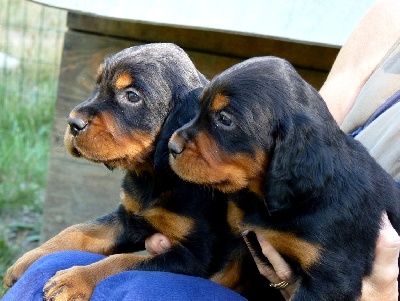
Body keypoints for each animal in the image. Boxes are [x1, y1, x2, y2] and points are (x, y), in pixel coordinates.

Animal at [3, 43, 280, 298]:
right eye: (97, 85)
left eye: (132, 96)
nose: (72, 123)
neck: (155, 176)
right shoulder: (129, 218)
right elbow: (77, 232)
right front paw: (29, 259)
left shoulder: (196, 256)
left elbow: (124, 262)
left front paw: (76, 279)